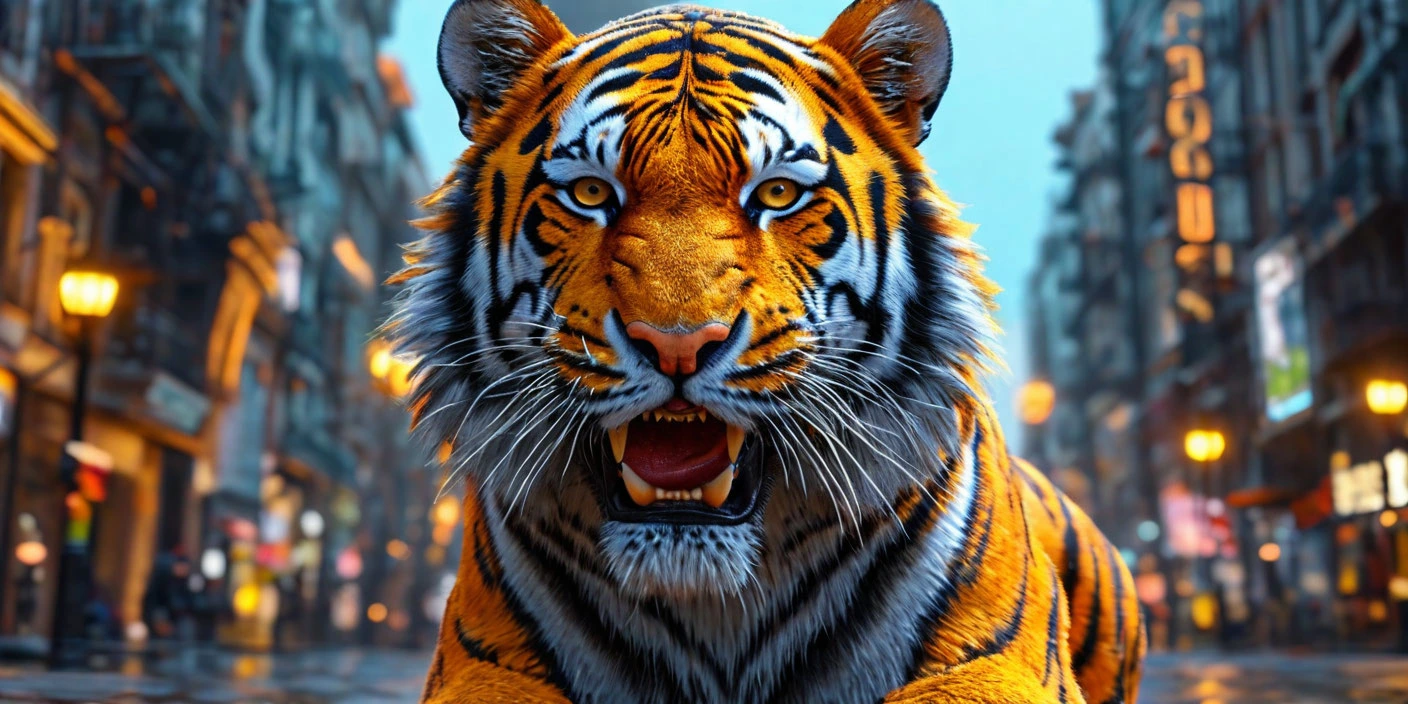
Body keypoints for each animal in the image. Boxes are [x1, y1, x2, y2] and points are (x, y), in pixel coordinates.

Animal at [387, 0, 1146, 702]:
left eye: (776, 193)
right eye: (590, 192)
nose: (678, 343)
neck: (715, 609)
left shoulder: (995, 662)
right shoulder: (481, 666)